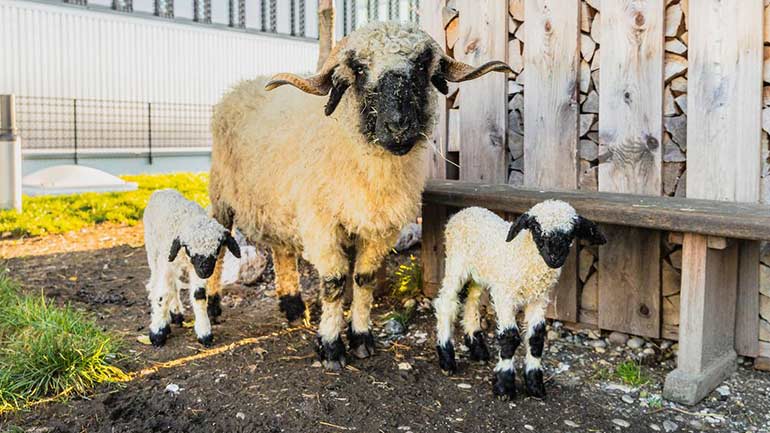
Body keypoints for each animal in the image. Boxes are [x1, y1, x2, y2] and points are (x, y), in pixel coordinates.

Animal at [143, 189, 240, 348]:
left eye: (218, 247)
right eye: (188, 248)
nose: (205, 271)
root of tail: (163, 190)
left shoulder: (192, 269)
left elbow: (199, 295)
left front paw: (204, 333)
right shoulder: (168, 259)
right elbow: (163, 294)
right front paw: (158, 333)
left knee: (174, 285)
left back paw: (176, 313)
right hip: (153, 249)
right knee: (157, 281)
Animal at [207, 22, 512, 368]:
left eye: (423, 66)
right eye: (360, 69)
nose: (398, 127)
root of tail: (238, 88)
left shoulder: (380, 229)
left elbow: (363, 279)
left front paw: (362, 338)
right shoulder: (321, 224)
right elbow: (335, 282)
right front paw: (330, 347)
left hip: (276, 203)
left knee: (282, 250)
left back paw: (293, 308)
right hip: (221, 197)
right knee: (219, 250)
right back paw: (213, 308)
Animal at [436, 202, 604, 398]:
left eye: (571, 231)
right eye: (536, 228)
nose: (555, 257)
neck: (524, 256)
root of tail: (465, 211)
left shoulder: (539, 300)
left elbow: (536, 338)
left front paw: (535, 385)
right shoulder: (504, 296)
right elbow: (510, 338)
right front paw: (504, 386)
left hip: (479, 272)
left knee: (472, 300)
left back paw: (477, 348)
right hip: (456, 264)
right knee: (446, 303)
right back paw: (447, 359)